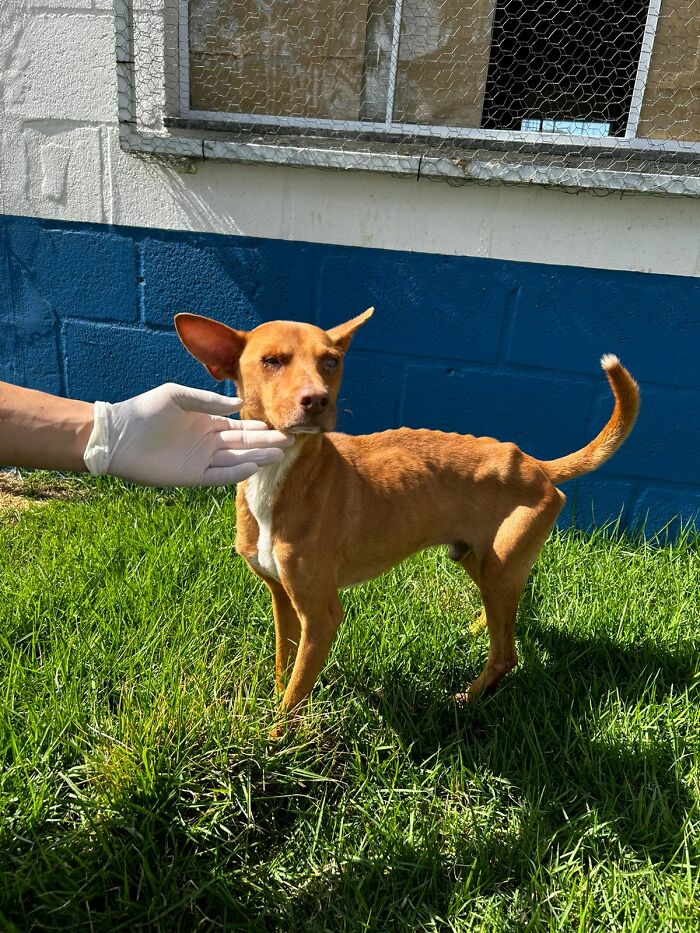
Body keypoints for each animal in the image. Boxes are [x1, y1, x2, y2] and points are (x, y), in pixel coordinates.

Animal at [175, 310, 640, 724]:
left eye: (332, 361)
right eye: (271, 361)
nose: (317, 400)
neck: (283, 475)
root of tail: (533, 464)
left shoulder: (321, 616)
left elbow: (294, 698)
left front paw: (274, 744)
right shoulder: (281, 596)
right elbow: (283, 668)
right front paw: (266, 708)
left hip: (500, 565)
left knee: (505, 655)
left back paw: (466, 699)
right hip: (479, 560)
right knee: (501, 620)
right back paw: (478, 629)